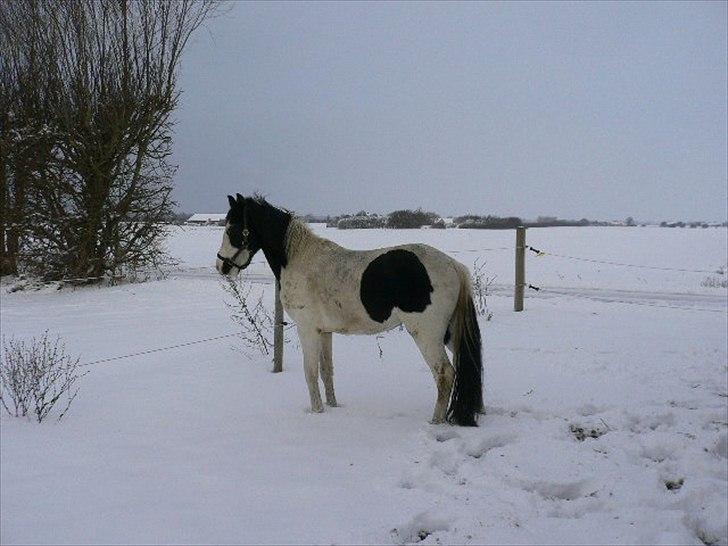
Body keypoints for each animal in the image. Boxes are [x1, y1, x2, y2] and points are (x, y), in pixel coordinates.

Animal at [219, 194, 486, 424]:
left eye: (232, 229)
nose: (221, 267)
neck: (299, 261)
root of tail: (453, 265)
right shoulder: (324, 332)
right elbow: (326, 371)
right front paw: (332, 406)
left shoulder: (307, 330)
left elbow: (310, 372)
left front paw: (317, 412)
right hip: (450, 333)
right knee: (469, 363)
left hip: (427, 334)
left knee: (444, 373)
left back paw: (435, 421)